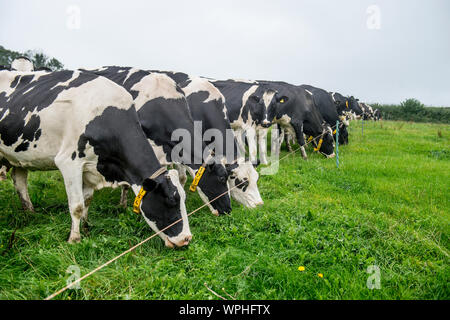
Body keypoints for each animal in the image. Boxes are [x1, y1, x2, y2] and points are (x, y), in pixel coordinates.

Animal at [0, 70, 192, 248]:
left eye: (183, 199)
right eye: (171, 200)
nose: (186, 239)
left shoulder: (90, 167)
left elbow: (87, 200)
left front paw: (86, 228)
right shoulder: (69, 162)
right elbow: (77, 205)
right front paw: (74, 239)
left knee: (20, 180)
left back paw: (30, 212)